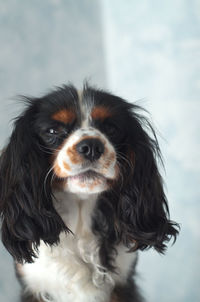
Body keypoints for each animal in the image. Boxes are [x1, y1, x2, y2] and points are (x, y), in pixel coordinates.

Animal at [0, 84, 178, 302]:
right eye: (53, 130)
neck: (80, 218)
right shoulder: (34, 285)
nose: (92, 146)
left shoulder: (122, 284)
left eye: (111, 129)